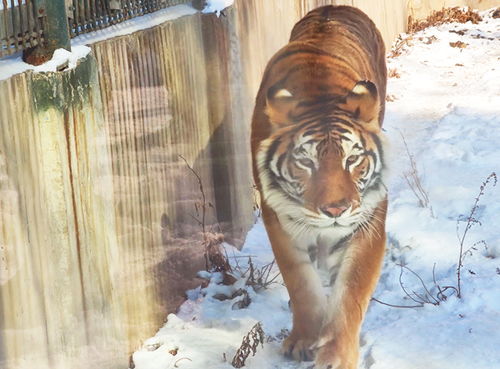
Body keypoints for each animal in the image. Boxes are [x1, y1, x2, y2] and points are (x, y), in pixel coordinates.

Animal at [250, 5, 386, 368]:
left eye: (353, 159)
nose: (336, 210)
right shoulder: (277, 219)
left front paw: (337, 355)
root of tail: (334, 6)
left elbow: (351, 291)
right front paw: (303, 341)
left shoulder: (369, 220)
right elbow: (300, 283)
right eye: (305, 162)